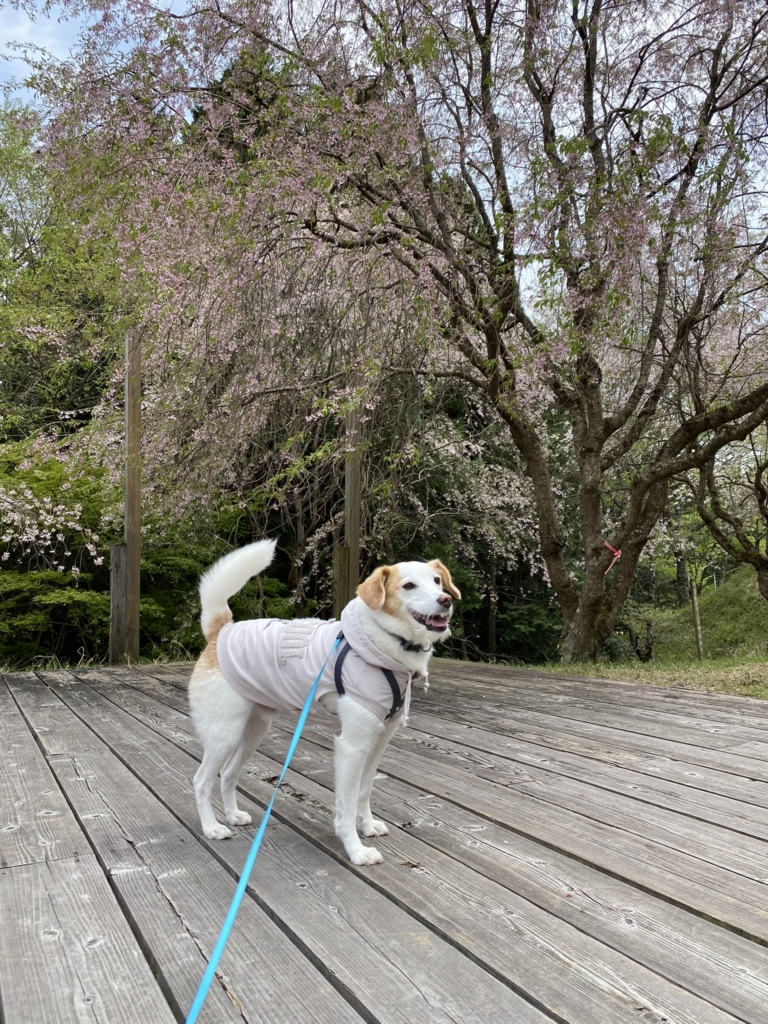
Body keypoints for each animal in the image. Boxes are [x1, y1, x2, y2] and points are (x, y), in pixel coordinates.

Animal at [189, 540, 460, 868]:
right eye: (409, 586)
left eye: (437, 581)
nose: (445, 599)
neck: (384, 646)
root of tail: (221, 630)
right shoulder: (352, 746)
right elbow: (346, 804)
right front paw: (356, 850)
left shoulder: (378, 742)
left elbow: (364, 791)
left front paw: (368, 826)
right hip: (225, 733)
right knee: (202, 780)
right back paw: (212, 827)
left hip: (253, 730)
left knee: (228, 774)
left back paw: (232, 816)